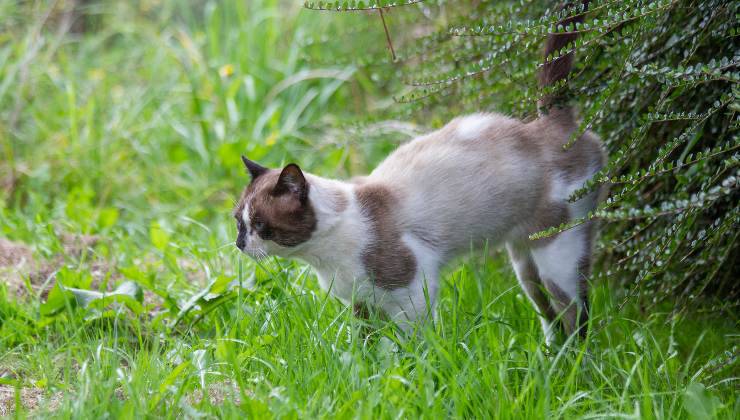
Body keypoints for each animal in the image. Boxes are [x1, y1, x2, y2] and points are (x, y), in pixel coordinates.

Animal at [234, 0, 604, 344]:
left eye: (262, 226)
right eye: (239, 222)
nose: (240, 244)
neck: (323, 256)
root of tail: (550, 121)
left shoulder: (412, 291)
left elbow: (412, 350)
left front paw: (412, 368)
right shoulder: (362, 305)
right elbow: (369, 351)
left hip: (557, 254)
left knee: (576, 315)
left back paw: (573, 364)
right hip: (524, 263)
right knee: (548, 315)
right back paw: (550, 360)